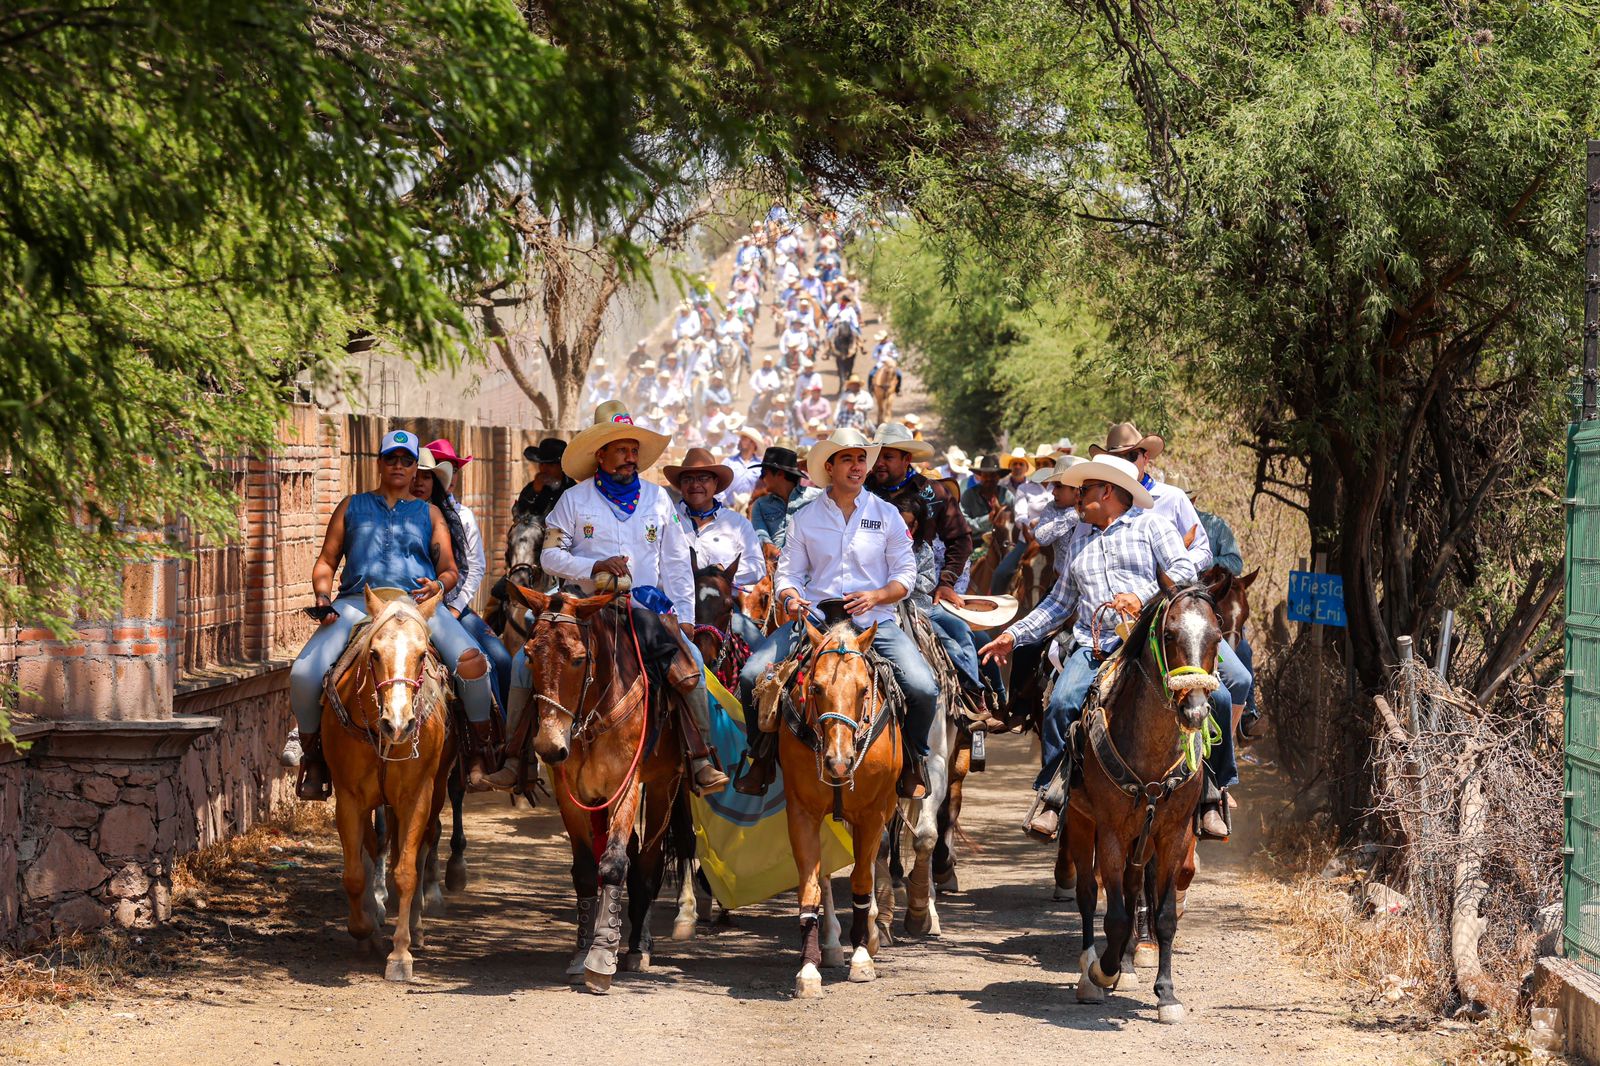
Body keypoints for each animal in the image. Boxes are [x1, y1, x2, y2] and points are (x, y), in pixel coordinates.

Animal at [318, 582, 457, 979]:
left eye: (422, 654)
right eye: (375, 654)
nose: (399, 723)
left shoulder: (416, 796)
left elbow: (406, 871)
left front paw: (400, 954)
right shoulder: (350, 799)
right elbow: (354, 872)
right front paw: (364, 930)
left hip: (436, 792)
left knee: (423, 845)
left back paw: (417, 928)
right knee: (375, 849)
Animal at [512, 582, 688, 985]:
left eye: (579, 659)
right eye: (529, 655)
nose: (549, 746)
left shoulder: (627, 782)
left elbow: (615, 864)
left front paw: (603, 954)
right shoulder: (571, 793)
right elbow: (585, 870)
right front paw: (581, 951)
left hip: (664, 786)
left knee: (648, 860)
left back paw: (639, 946)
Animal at [784, 614, 908, 998]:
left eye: (864, 690)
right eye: (815, 688)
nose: (839, 763)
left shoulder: (872, 812)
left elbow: (861, 879)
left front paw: (863, 957)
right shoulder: (802, 812)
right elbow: (810, 884)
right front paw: (809, 969)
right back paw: (832, 945)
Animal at [1068, 573, 1228, 1024]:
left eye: (1217, 636)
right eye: (1169, 634)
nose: (1195, 711)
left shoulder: (1172, 835)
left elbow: (1165, 915)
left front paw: (1167, 994)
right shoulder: (1110, 833)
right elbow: (1115, 915)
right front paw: (1102, 973)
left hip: (1143, 842)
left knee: (1133, 887)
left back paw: (1123, 965)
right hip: (1080, 824)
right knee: (1088, 893)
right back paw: (1093, 967)